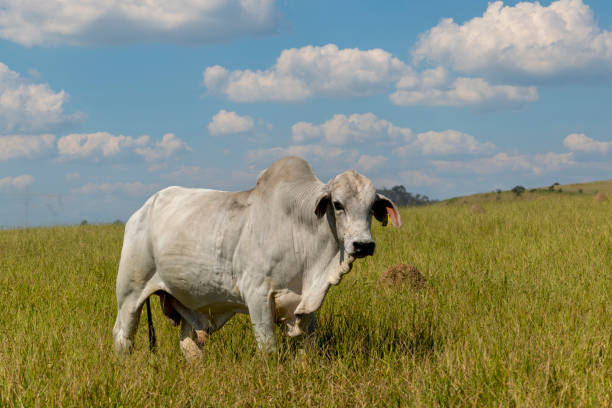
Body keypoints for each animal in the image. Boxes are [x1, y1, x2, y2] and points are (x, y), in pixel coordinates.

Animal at [113, 156, 402, 356]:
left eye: (371, 207)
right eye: (338, 204)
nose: (363, 245)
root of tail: (141, 211)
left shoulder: (307, 302)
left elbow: (308, 346)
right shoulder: (258, 295)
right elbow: (268, 347)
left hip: (187, 301)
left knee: (189, 344)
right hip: (130, 292)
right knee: (123, 336)